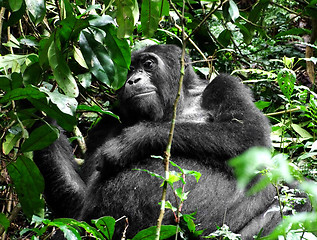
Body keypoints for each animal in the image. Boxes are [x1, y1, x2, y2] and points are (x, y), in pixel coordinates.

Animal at [34, 44, 308, 238]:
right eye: (129, 70)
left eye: (148, 64)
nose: (133, 80)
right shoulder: (108, 121)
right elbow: (78, 202)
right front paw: (40, 116)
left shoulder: (227, 84)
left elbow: (249, 134)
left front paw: (133, 140)